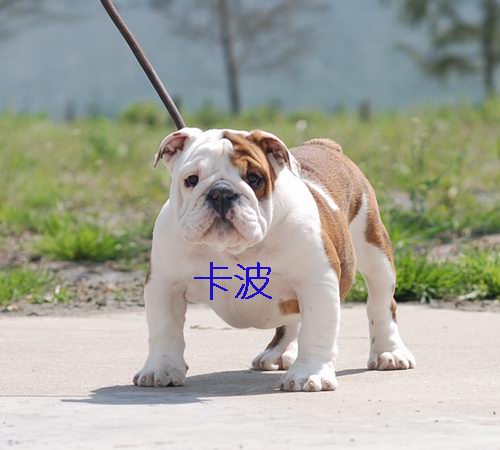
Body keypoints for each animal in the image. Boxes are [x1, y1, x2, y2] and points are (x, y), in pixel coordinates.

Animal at [133, 127, 415, 392]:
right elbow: (164, 329)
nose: (221, 193)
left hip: (374, 249)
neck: (233, 249)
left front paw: (309, 374)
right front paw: (161, 369)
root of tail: (323, 145)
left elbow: (316, 330)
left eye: (254, 178)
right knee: (291, 319)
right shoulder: (165, 285)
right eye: (191, 180)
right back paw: (279, 353)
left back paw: (388, 353)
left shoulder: (317, 283)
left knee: (380, 303)